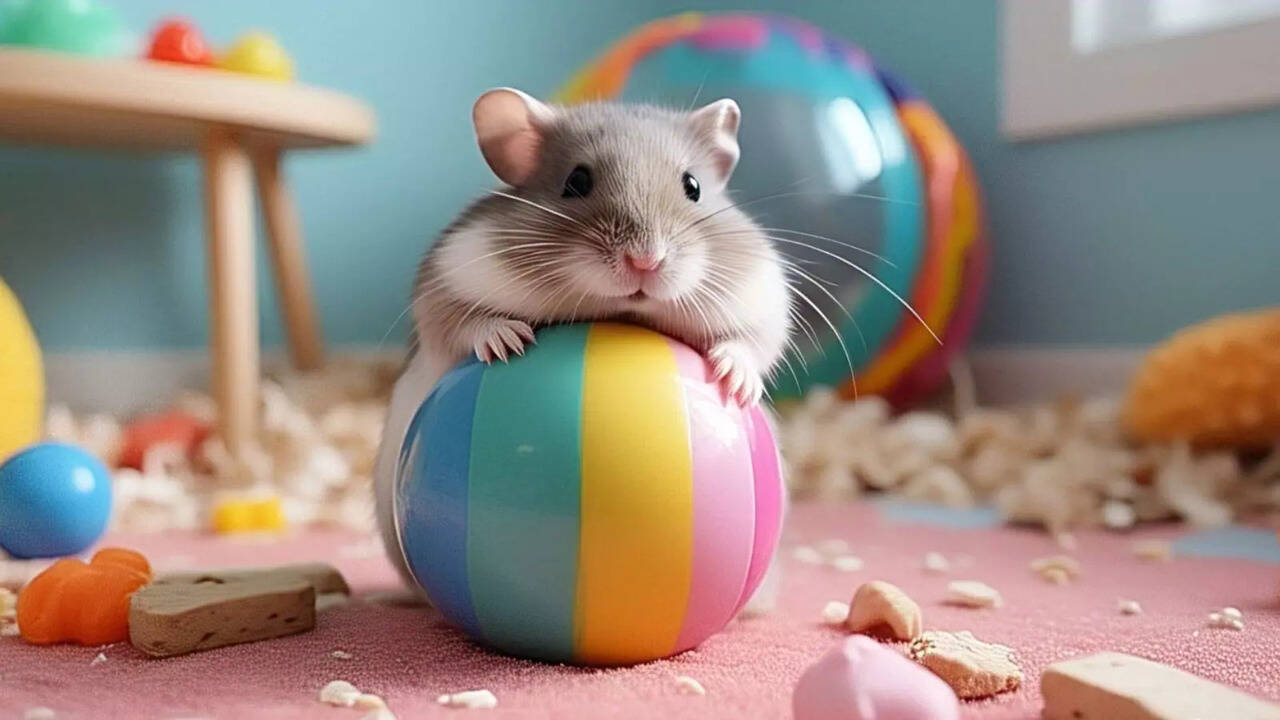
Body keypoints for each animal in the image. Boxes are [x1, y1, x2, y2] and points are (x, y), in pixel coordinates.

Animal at [373, 88, 792, 585]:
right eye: (576, 181)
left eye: (693, 186)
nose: (645, 260)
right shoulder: (446, 281)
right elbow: (465, 321)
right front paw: (509, 342)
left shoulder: (765, 302)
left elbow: (752, 343)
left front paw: (734, 380)